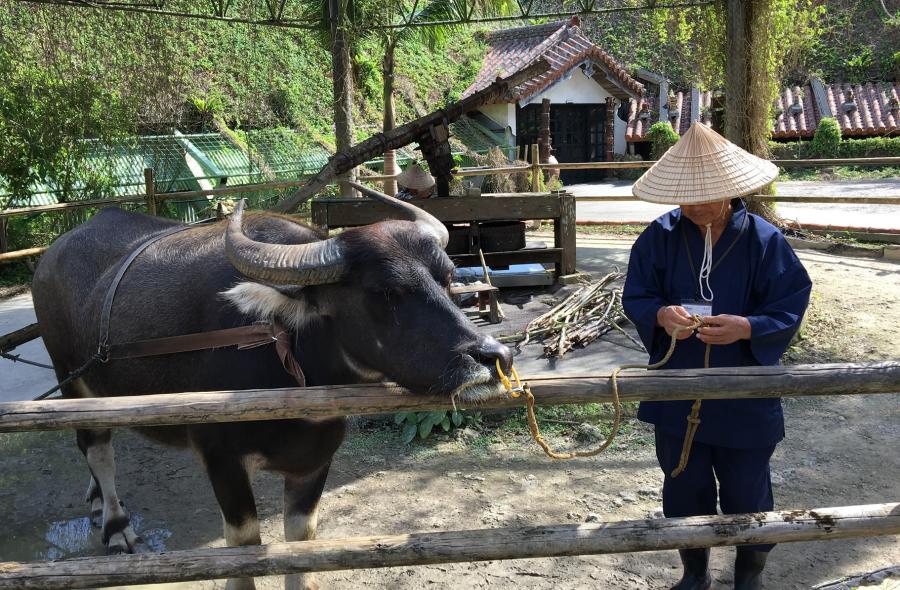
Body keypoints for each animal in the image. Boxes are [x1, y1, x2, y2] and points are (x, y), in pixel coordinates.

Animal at [33, 192, 512, 588]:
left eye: (447, 277)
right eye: (385, 291)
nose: (494, 357)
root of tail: (51, 256)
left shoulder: (315, 460)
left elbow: (301, 540)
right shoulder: (220, 458)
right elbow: (244, 544)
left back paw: (97, 503)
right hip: (75, 382)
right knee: (97, 447)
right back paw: (115, 525)